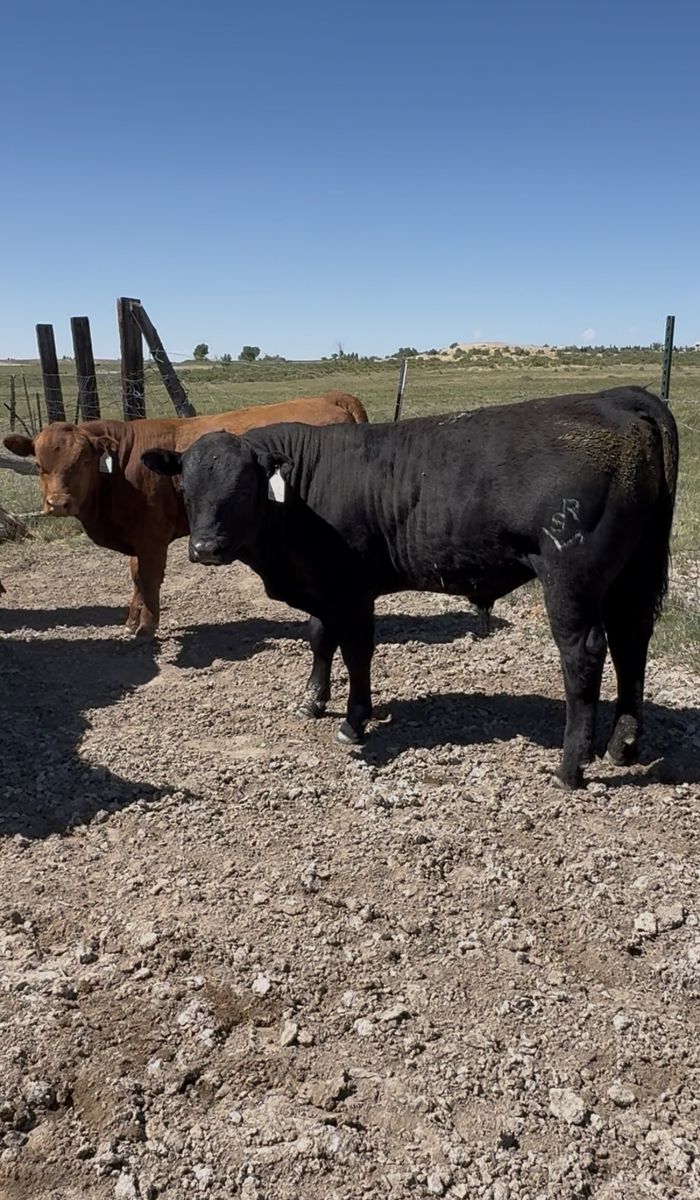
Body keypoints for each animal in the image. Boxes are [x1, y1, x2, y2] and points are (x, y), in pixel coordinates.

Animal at [3, 391, 367, 637]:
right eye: (39, 465)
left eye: (82, 462)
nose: (58, 503)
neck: (122, 466)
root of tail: (331, 397)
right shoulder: (138, 536)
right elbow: (136, 576)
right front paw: (132, 620)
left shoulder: (151, 535)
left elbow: (149, 577)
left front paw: (146, 627)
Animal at [142, 386, 678, 790]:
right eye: (187, 488)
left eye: (244, 486)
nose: (205, 547)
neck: (300, 493)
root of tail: (614, 397)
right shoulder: (320, 586)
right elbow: (319, 639)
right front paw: (312, 700)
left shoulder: (352, 591)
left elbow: (357, 652)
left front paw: (354, 719)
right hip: (630, 575)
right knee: (631, 643)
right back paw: (622, 745)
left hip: (571, 579)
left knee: (584, 656)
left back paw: (570, 766)